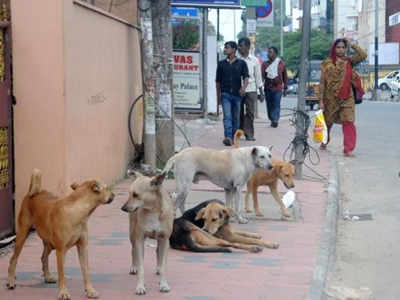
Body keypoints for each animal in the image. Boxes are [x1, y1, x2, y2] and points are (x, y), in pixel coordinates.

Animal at [7, 169, 115, 300]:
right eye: (107, 188)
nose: (114, 194)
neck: (78, 211)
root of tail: (32, 193)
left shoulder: (83, 248)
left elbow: (86, 271)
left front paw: (90, 290)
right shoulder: (61, 250)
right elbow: (62, 274)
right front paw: (63, 292)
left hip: (49, 243)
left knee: (44, 257)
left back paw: (47, 277)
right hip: (22, 235)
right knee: (13, 259)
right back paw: (11, 281)